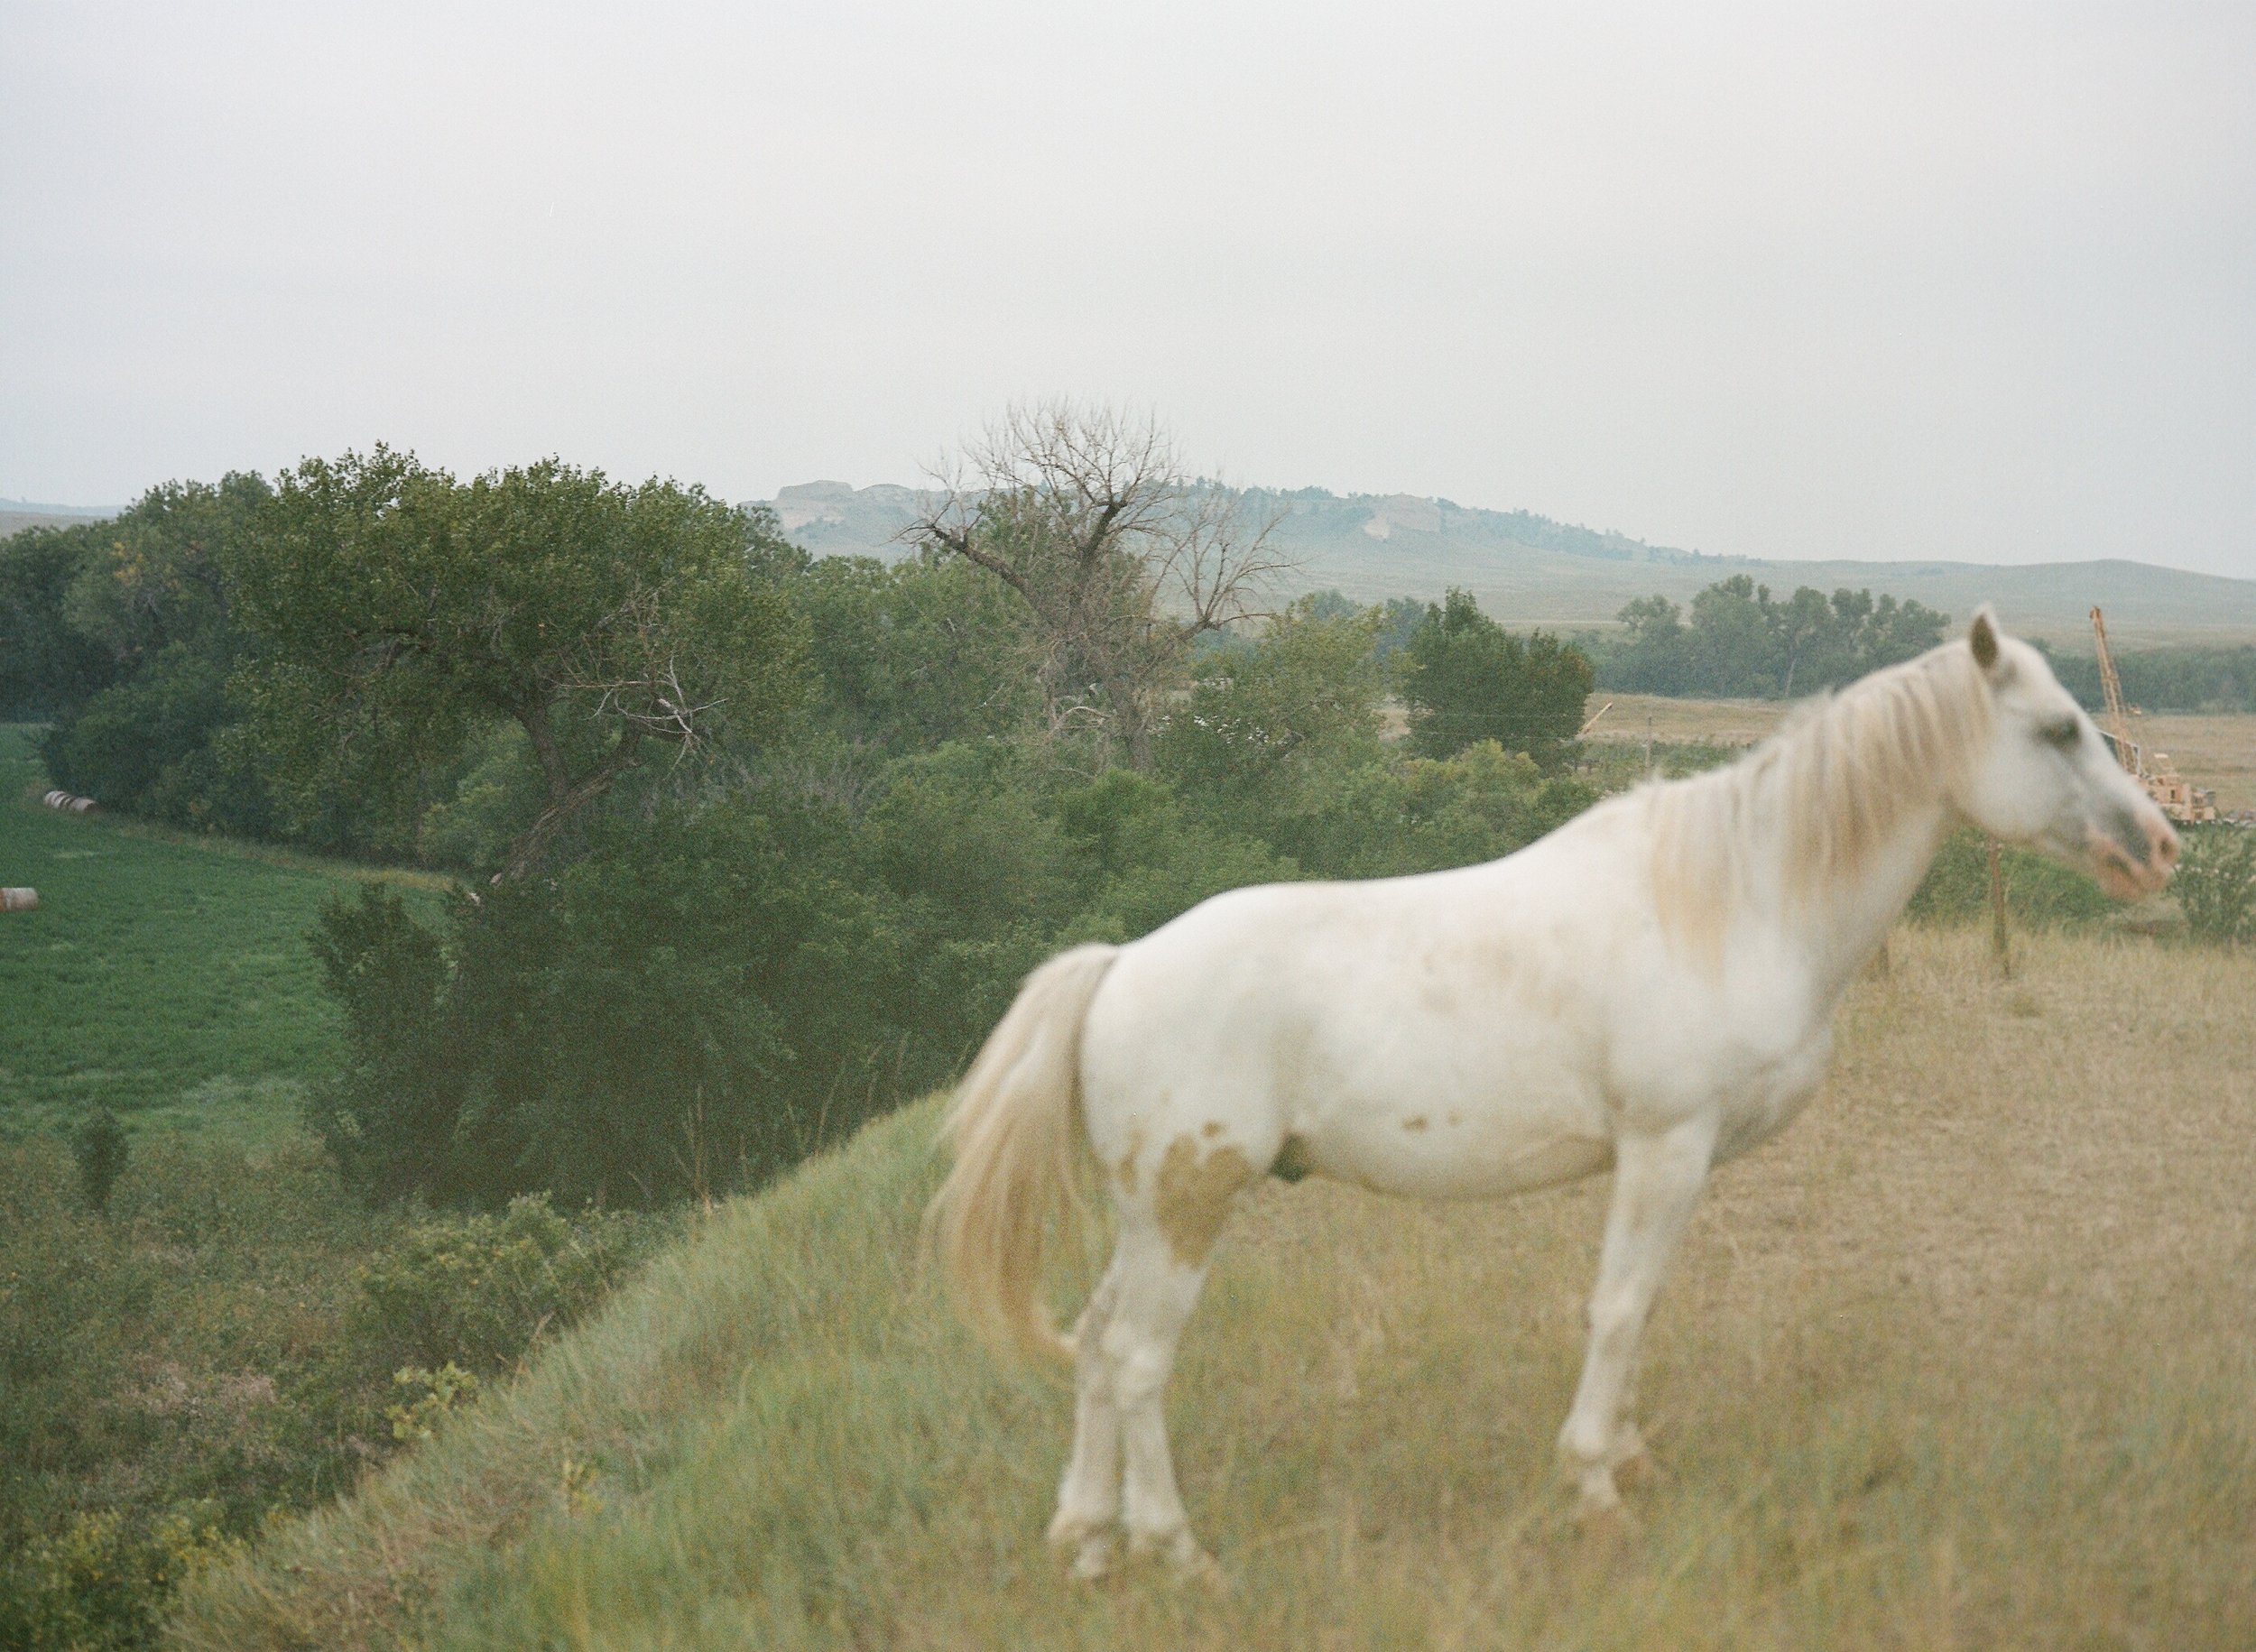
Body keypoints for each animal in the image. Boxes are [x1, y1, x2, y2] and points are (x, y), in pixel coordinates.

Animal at [925, 614, 2175, 1579]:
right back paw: (1176, 1552)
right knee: (1138, 1360)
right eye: (2057, 729)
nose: (2160, 845)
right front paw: (1595, 1489)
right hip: (1188, 1209)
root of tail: (1119, 964)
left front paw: (1626, 1458)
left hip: (1148, 1215)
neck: (1732, 901)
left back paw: (1088, 1543)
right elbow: (1617, 1308)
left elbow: (1644, 1304)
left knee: (1095, 1347)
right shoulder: (1664, 1147)